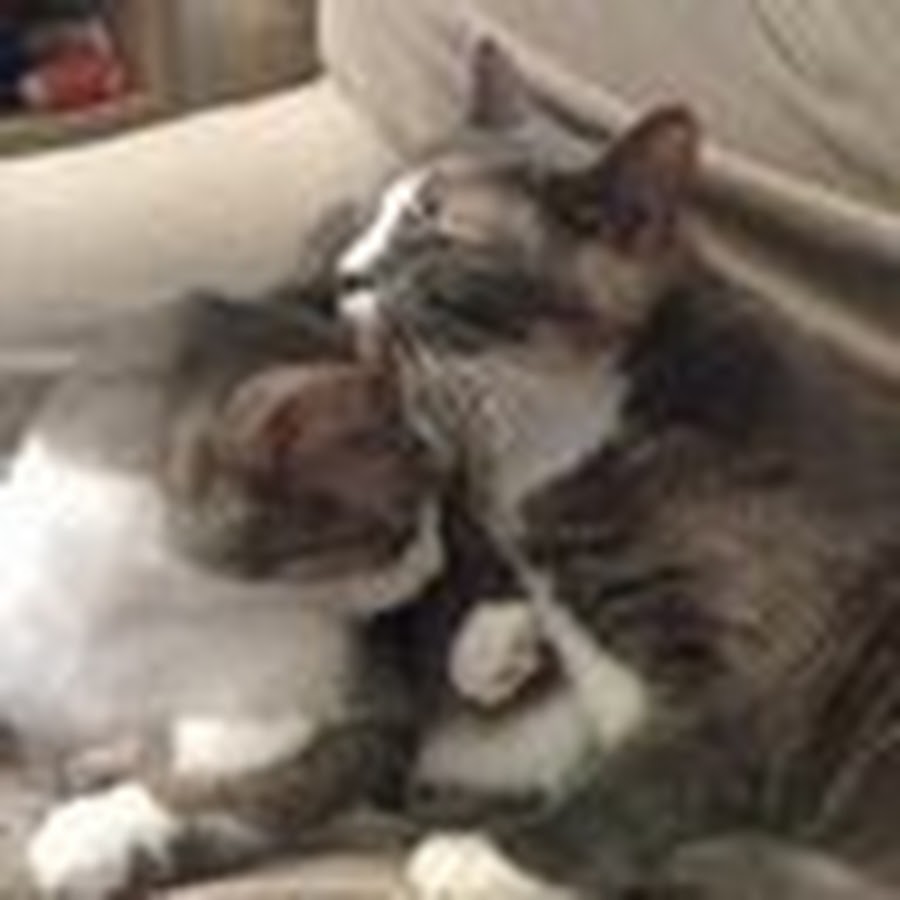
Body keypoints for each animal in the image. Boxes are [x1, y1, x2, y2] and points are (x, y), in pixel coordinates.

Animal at [0, 284, 453, 898]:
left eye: (437, 508)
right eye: (400, 527)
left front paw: (100, 833)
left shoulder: (369, 707)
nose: (437, 561)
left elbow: (260, 776)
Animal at [337, 44, 900, 900]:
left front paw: (492, 860)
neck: (549, 421)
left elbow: (639, 782)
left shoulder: (751, 666)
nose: (342, 273)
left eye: (433, 229)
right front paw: (497, 644)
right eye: (377, 211)